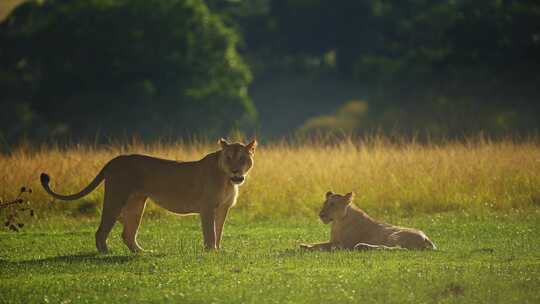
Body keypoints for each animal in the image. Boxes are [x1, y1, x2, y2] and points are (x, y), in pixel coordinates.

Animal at [41, 139, 256, 253]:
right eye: (228, 157)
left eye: (242, 158)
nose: (236, 170)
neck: (228, 180)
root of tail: (113, 160)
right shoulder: (207, 207)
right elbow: (210, 231)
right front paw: (210, 251)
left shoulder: (223, 208)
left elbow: (219, 230)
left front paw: (218, 250)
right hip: (115, 198)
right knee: (101, 230)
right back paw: (106, 253)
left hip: (136, 204)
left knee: (127, 234)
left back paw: (141, 253)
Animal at [302, 191, 436, 251]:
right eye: (325, 203)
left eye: (333, 204)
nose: (321, 215)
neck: (337, 222)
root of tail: (427, 238)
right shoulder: (333, 240)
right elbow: (319, 243)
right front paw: (304, 245)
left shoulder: (345, 245)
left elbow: (325, 247)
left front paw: (307, 248)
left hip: (394, 235)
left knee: (398, 249)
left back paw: (363, 246)